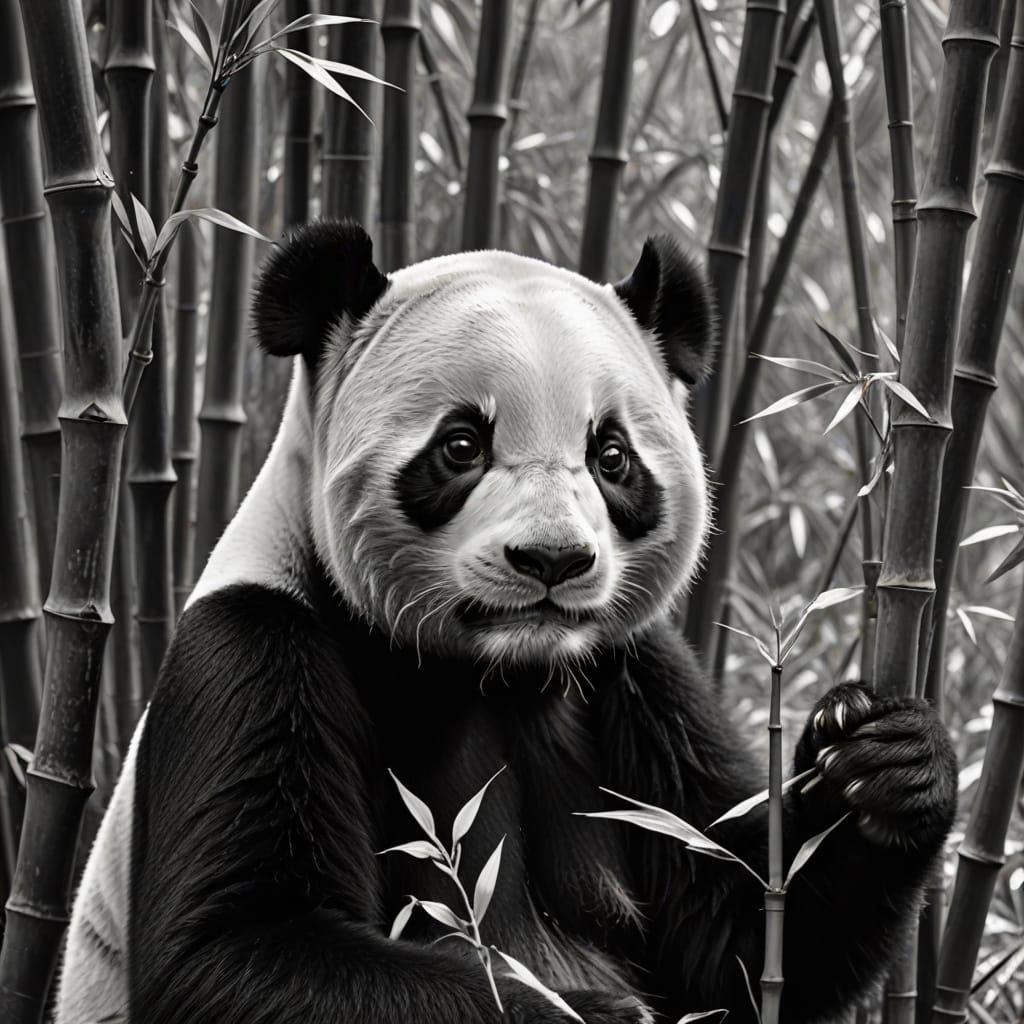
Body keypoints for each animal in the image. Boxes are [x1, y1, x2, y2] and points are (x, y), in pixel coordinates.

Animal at [56, 221, 957, 1024]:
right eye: (461, 445)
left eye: (612, 456)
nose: (552, 560)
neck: (494, 666)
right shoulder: (253, 651)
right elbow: (231, 952)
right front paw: (598, 1012)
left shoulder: (632, 670)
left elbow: (739, 934)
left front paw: (883, 758)